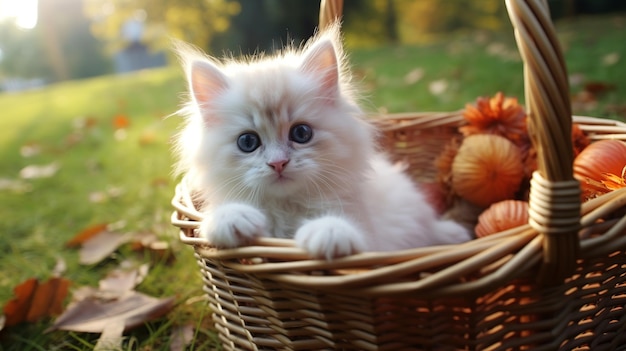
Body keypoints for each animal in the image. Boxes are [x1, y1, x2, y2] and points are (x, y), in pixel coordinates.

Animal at [173, 24, 470, 260]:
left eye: (301, 134)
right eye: (248, 142)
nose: (278, 163)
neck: (288, 208)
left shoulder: (373, 241)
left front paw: (328, 232)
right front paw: (232, 219)